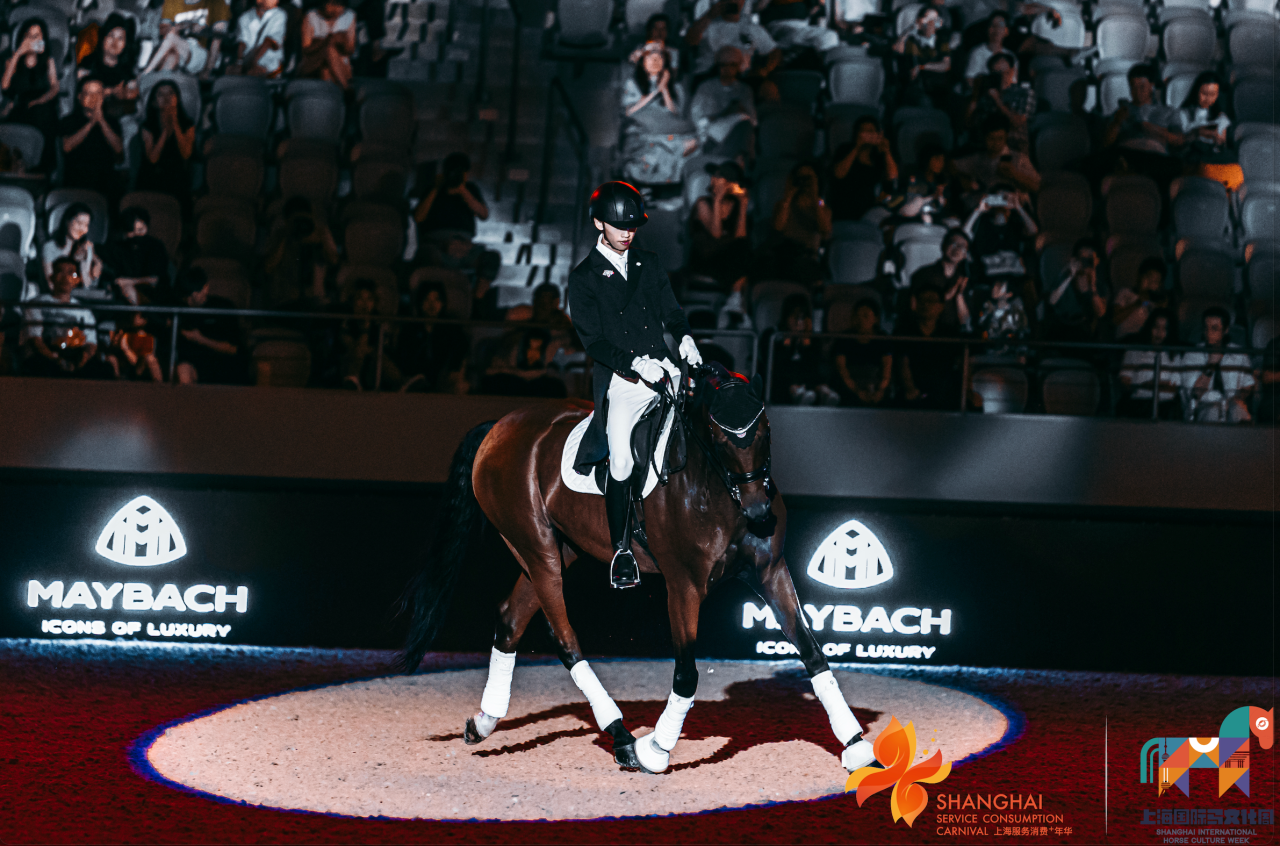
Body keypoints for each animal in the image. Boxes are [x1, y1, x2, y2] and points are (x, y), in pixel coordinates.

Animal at [395, 363, 876, 775]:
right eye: (718, 436)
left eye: (767, 430)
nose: (759, 511)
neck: (712, 487)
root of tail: (499, 425)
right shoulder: (684, 584)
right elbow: (687, 673)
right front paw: (656, 750)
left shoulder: (771, 573)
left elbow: (813, 653)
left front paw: (857, 746)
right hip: (537, 549)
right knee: (565, 639)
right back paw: (623, 738)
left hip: (557, 550)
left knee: (511, 619)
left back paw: (484, 722)